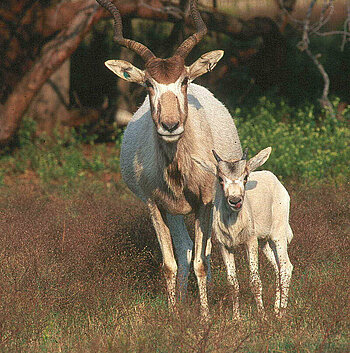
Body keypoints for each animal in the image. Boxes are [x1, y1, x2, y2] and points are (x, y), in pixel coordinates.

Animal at [97, 0, 242, 314]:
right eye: (149, 83)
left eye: (183, 80)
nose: (170, 125)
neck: (177, 168)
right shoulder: (154, 206)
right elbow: (169, 263)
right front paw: (174, 314)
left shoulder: (204, 203)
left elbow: (202, 261)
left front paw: (205, 317)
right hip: (175, 212)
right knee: (185, 248)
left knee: (204, 251)